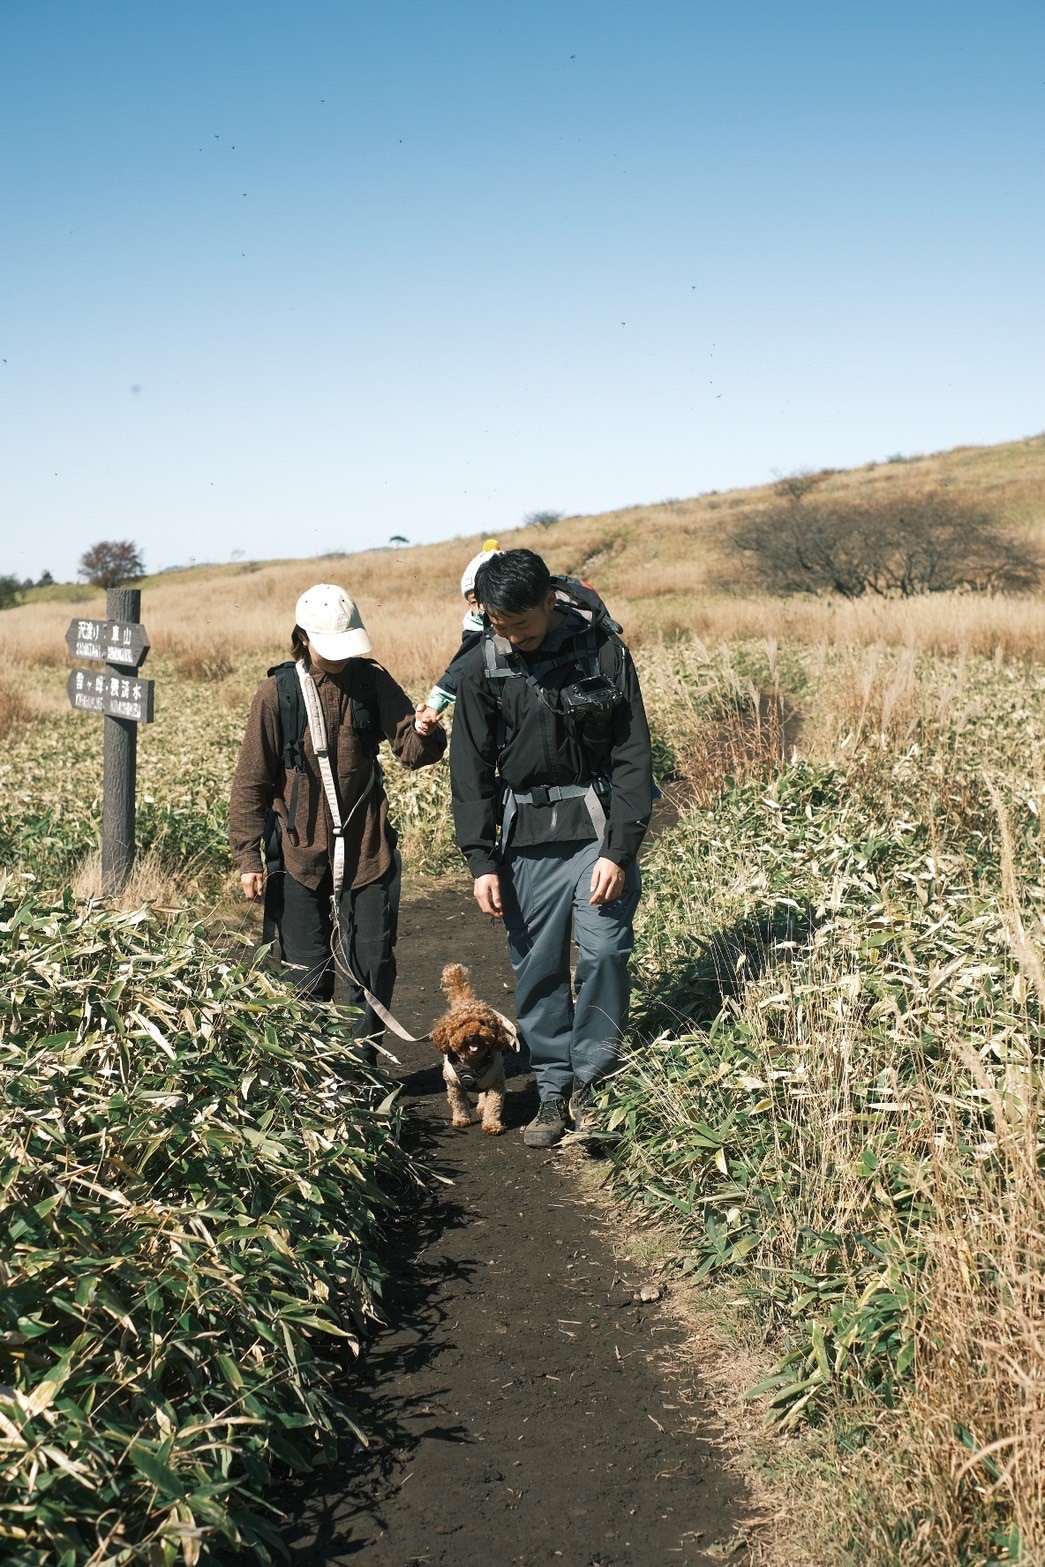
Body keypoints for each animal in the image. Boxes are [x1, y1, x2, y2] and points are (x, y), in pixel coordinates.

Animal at [431, 962, 517, 1135]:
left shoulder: (496, 1082)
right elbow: (459, 1103)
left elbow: (494, 1104)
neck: (472, 1064)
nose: (473, 1034)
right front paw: (461, 1119)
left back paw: (482, 1106)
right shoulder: (454, 1084)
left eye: (482, 1023)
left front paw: (492, 1124)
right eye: (461, 1024)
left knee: (484, 1095)